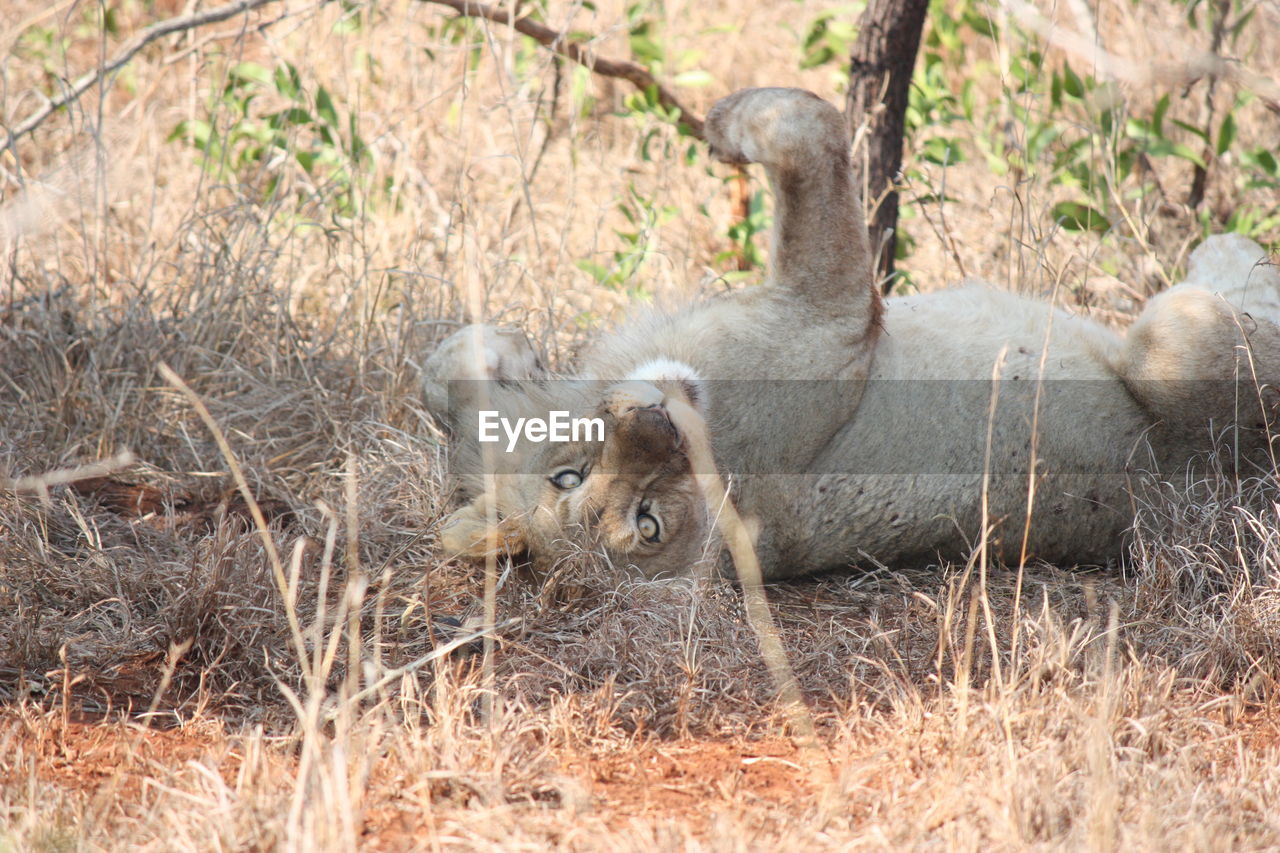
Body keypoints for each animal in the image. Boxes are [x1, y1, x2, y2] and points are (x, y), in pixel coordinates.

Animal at [422, 86, 1280, 578]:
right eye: (650, 523)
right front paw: (729, 122)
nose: (656, 421)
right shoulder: (832, 316)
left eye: (569, 475)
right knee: (1205, 320)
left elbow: (444, 372)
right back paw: (1233, 251)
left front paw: (500, 350)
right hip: (1173, 348)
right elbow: (811, 123)